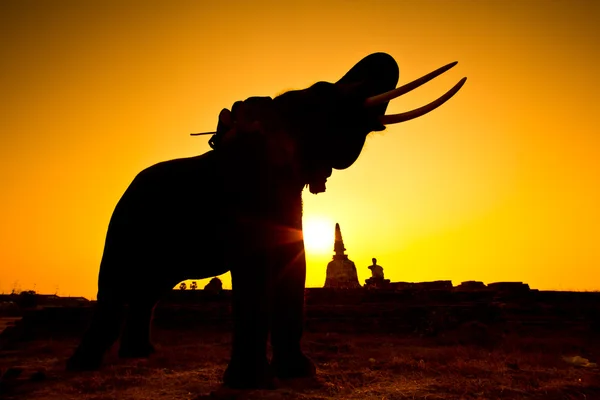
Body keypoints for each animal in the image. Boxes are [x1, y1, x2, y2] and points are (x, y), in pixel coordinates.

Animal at [67, 52, 468, 388]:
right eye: (315, 100)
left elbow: (296, 266)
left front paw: (299, 374)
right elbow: (255, 269)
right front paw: (252, 383)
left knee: (149, 290)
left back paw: (142, 355)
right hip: (124, 223)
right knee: (115, 285)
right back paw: (83, 364)